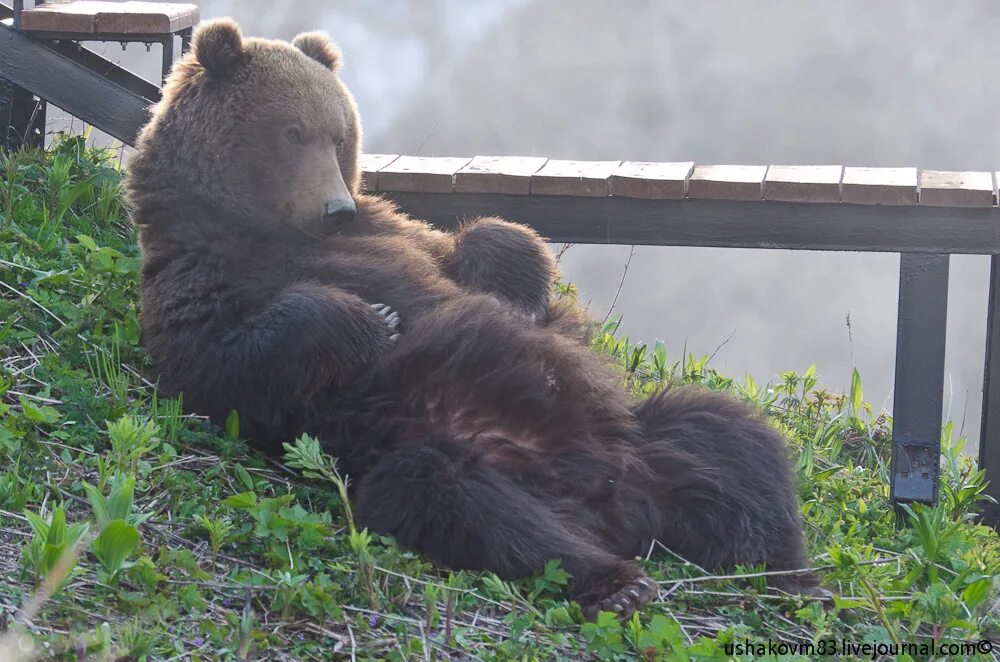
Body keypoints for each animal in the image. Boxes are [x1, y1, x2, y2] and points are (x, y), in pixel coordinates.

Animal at [125, 18, 820, 620]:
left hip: (642, 439)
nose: (334, 208)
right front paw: (375, 319)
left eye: (339, 134)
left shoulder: (400, 232)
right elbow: (227, 366)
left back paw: (792, 576)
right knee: (464, 503)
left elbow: (482, 246)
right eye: (291, 132)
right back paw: (616, 581)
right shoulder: (198, 278)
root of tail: (607, 503)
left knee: (730, 440)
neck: (263, 229)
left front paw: (515, 297)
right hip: (437, 451)